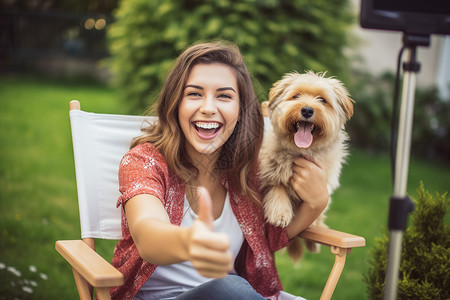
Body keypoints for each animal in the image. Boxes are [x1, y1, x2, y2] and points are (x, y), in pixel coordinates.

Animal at [258, 71, 354, 262]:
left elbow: (319, 209)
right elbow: (277, 183)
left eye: (322, 100)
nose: (307, 110)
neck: (300, 151)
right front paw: (279, 212)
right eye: (296, 96)